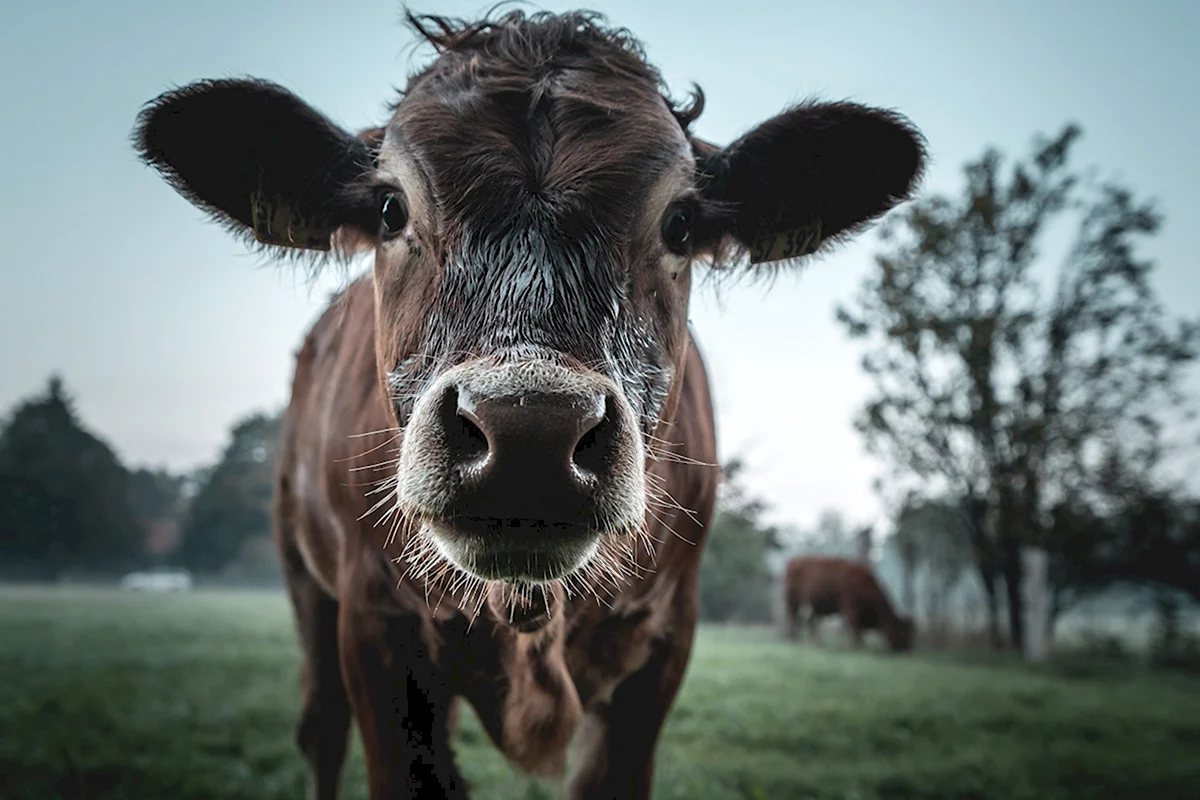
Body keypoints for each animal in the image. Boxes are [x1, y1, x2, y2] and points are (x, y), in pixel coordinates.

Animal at [784, 555, 916, 652]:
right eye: (902, 632)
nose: (906, 649)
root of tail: (793, 561)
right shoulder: (850, 608)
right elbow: (855, 627)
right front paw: (857, 647)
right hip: (793, 601)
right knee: (794, 618)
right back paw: (794, 639)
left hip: (814, 608)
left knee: (810, 622)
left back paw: (815, 643)